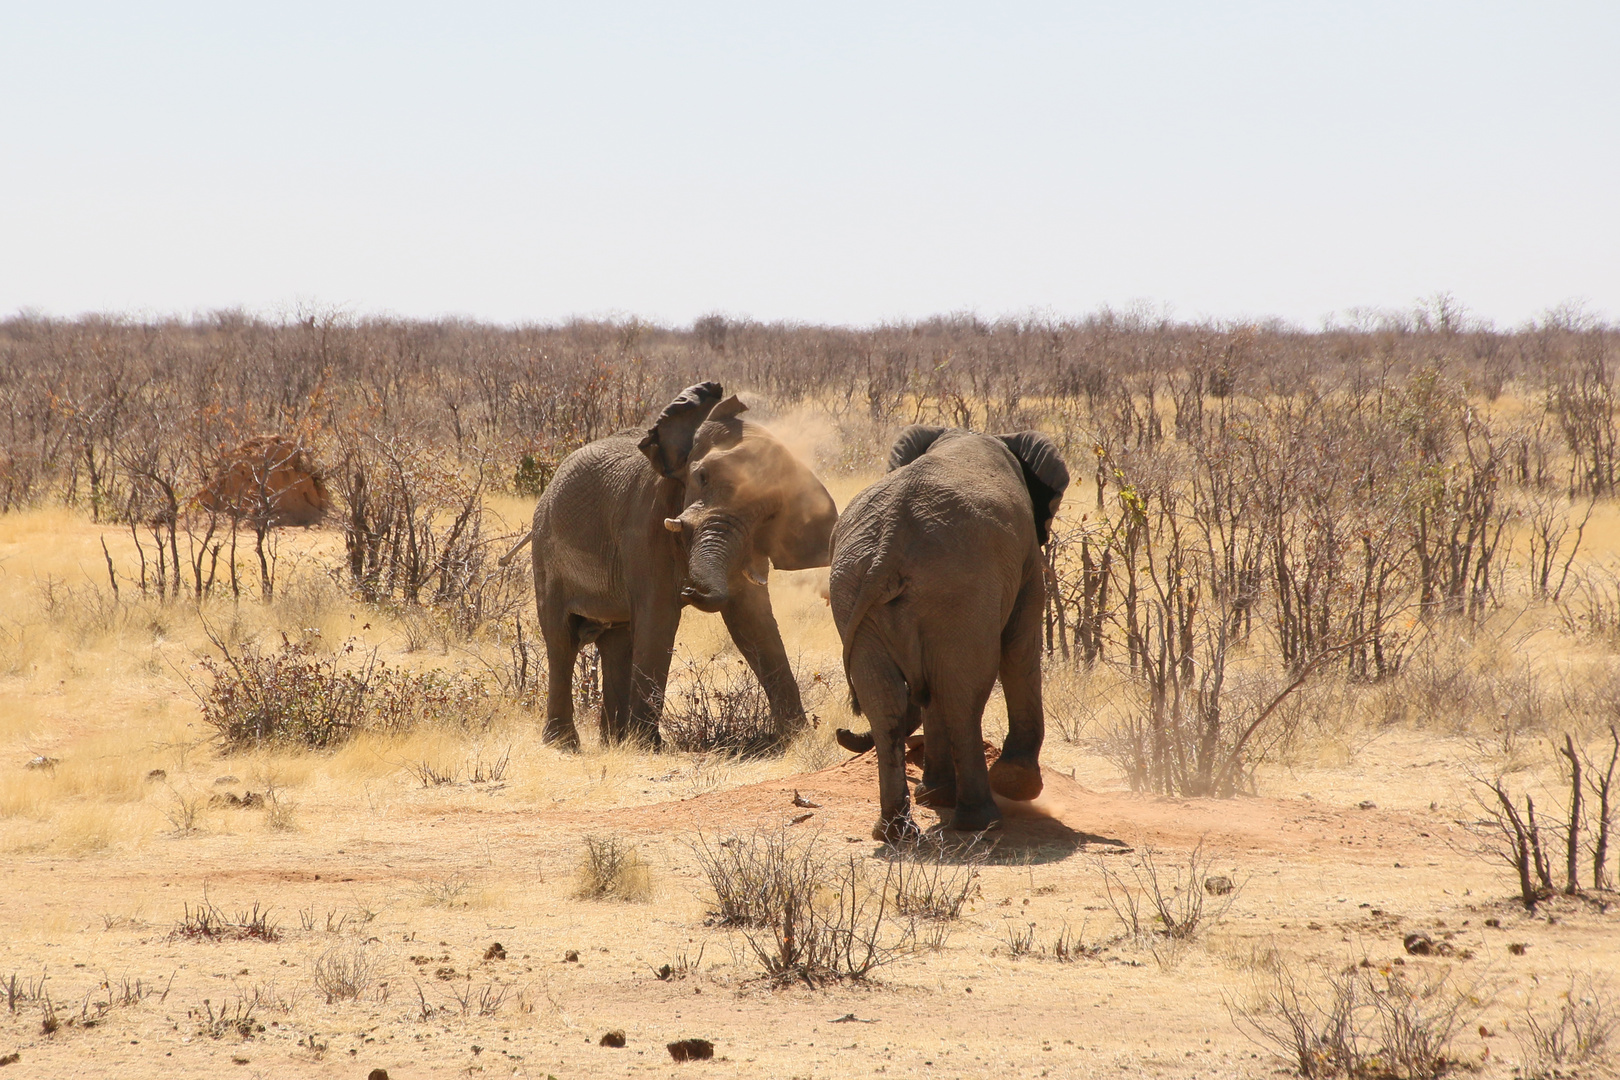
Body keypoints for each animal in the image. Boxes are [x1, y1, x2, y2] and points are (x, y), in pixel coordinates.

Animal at [502, 382, 835, 751]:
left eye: (772, 512)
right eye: (702, 477)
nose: (690, 588)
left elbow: (753, 623)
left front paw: (800, 739)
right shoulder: (644, 522)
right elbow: (658, 616)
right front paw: (648, 747)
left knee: (617, 641)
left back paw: (613, 742)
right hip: (545, 547)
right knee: (561, 639)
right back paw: (565, 744)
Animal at [829, 427, 1069, 841]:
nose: (843, 730)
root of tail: (889, 540)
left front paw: (933, 797)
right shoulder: (1025, 562)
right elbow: (1019, 647)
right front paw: (1016, 785)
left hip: (852, 589)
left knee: (888, 700)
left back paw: (895, 832)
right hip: (960, 589)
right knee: (961, 692)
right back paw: (980, 821)